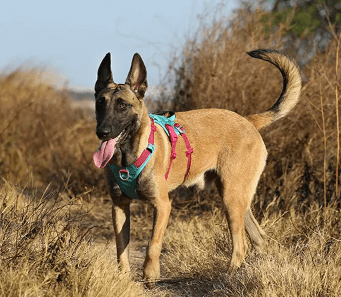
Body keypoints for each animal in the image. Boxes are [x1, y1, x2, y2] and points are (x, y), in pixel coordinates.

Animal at [92, 49, 300, 282]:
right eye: (100, 103)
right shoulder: (119, 206)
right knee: (258, 237)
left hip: (231, 199)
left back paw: (229, 275)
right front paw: (123, 276)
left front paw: (150, 275)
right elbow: (121, 247)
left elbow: (153, 244)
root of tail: (248, 120)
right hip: (238, 199)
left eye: (122, 105)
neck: (128, 155)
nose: (102, 132)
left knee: (240, 245)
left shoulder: (162, 206)